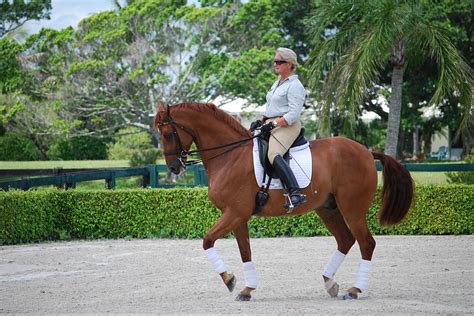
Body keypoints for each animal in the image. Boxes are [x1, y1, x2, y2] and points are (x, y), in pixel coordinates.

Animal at [154, 102, 412, 302]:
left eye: (167, 134)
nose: (174, 168)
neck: (230, 156)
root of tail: (367, 152)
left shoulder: (235, 213)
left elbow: (207, 240)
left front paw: (229, 280)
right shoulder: (237, 216)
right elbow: (245, 252)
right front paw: (247, 290)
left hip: (352, 209)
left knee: (366, 243)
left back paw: (355, 290)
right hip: (328, 209)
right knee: (346, 240)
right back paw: (330, 284)